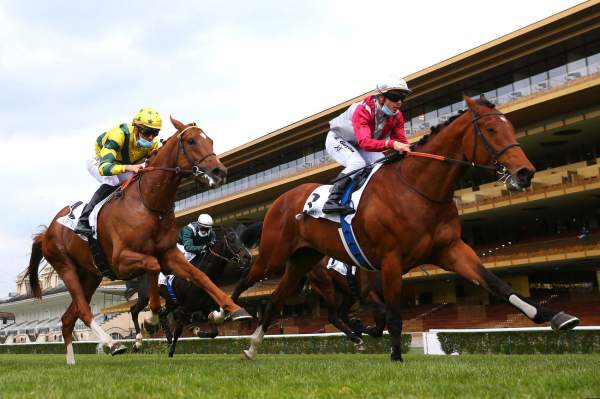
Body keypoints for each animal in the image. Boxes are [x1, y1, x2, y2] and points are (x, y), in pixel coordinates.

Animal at [130, 225, 252, 356]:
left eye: (242, 239)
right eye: (231, 239)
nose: (247, 257)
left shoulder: (206, 306)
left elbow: (214, 332)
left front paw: (195, 329)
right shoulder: (184, 308)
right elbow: (178, 331)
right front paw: (171, 352)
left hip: (171, 301)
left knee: (162, 314)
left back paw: (167, 337)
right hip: (145, 296)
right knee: (134, 311)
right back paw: (137, 343)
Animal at [233, 97, 576, 362]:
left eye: (511, 127)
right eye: (491, 129)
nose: (526, 172)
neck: (419, 189)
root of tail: (280, 200)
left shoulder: (451, 249)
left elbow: (497, 284)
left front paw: (555, 316)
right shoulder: (388, 261)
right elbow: (393, 314)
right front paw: (396, 355)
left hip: (302, 261)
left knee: (277, 300)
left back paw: (252, 347)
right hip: (275, 257)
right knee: (248, 280)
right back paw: (231, 311)